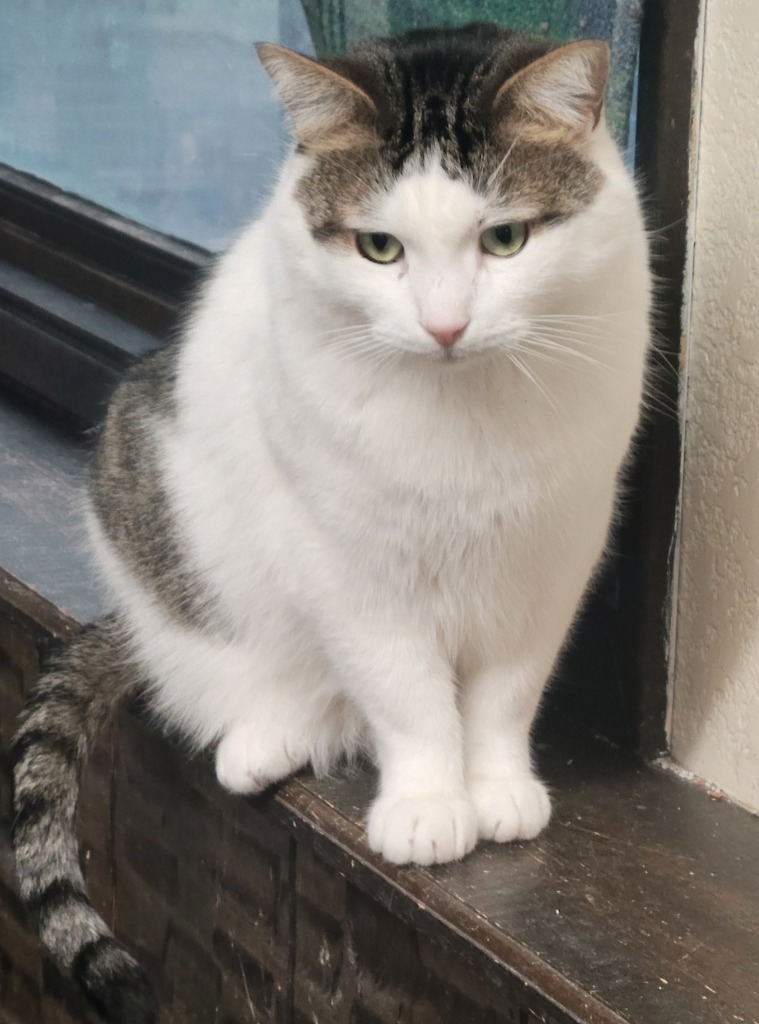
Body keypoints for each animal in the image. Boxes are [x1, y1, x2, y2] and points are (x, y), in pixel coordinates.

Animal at [8, 22, 647, 1024]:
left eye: (504, 238)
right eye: (379, 247)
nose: (445, 326)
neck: (463, 416)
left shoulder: (547, 558)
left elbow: (506, 693)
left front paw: (496, 787)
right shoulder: (351, 566)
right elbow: (408, 695)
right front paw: (428, 805)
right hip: (148, 483)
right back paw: (270, 734)